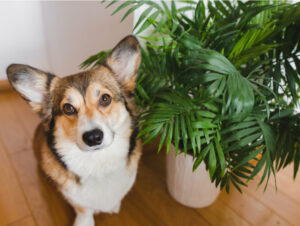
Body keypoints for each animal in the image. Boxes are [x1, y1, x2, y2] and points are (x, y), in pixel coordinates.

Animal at [6, 35, 142, 226]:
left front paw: (114, 205)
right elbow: (83, 209)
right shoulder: (75, 198)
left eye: (105, 98)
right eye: (68, 108)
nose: (93, 137)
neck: (98, 164)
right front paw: (84, 221)